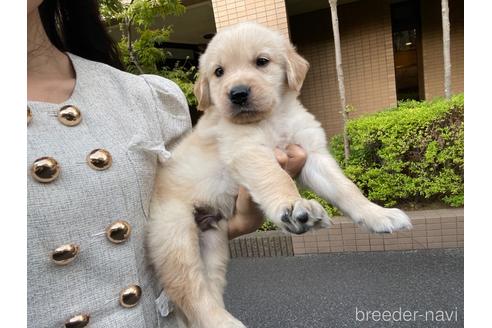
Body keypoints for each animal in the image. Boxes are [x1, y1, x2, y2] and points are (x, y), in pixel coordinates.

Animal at [148, 21, 414, 326]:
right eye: (219, 72)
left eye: (261, 62)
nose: (237, 93)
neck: (272, 118)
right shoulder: (248, 150)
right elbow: (277, 178)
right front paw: (293, 205)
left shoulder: (313, 154)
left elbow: (347, 188)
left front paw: (378, 215)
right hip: (175, 236)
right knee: (189, 291)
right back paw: (224, 321)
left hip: (213, 242)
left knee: (207, 288)